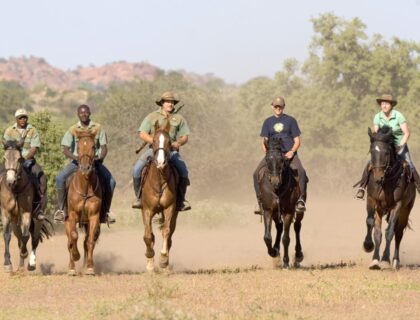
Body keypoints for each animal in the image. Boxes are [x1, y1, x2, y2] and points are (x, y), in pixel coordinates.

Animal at [0, 140, 52, 272]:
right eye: (5, 158)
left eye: (19, 159)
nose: (10, 181)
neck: (16, 189)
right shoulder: (6, 213)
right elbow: (7, 236)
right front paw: (7, 263)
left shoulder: (26, 213)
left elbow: (26, 236)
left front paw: (24, 254)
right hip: (14, 221)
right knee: (18, 238)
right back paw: (20, 266)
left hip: (37, 218)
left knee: (34, 239)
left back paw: (31, 263)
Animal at [65, 131, 102, 276]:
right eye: (79, 146)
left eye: (93, 146)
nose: (85, 168)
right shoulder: (72, 214)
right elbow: (73, 237)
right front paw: (76, 256)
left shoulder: (94, 216)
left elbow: (90, 241)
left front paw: (90, 268)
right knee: (69, 241)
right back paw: (71, 267)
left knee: (87, 241)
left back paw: (85, 265)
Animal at [258, 137, 304, 268]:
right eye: (267, 159)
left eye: (282, 159)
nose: (275, 181)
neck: (277, 189)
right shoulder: (268, 211)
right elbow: (267, 237)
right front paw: (273, 252)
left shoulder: (288, 212)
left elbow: (286, 238)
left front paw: (286, 262)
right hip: (275, 213)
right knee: (279, 227)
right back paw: (276, 249)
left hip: (298, 211)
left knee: (297, 226)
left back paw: (298, 255)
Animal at [362, 127, 416, 270]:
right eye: (372, 151)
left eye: (386, 153)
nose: (378, 177)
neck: (386, 181)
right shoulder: (372, 200)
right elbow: (372, 225)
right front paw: (370, 249)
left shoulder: (397, 206)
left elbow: (390, 232)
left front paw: (385, 259)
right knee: (379, 232)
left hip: (405, 211)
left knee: (398, 233)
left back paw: (395, 261)